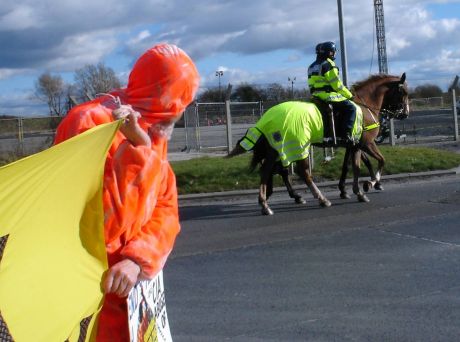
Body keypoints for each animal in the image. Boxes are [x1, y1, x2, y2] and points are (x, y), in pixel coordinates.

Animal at [227, 73, 410, 215]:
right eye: (403, 93)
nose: (406, 114)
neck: (364, 105)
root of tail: (267, 116)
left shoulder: (353, 145)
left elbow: (350, 166)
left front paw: (350, 189)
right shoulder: (365, 143)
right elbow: (377, 162)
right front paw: (369, 184)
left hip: (276, 149)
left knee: (269, 171)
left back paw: (267, 202)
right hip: (296, 146)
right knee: (299, 171)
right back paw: (319, 198)